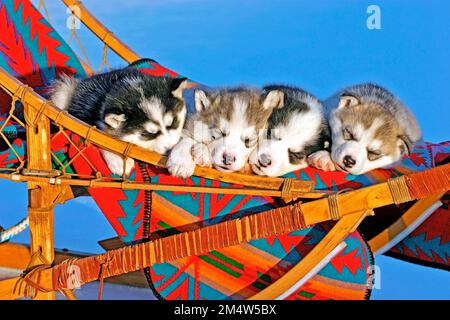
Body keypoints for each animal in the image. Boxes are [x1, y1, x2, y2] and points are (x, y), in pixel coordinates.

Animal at [49, 68, 188, 176]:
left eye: (173, 123)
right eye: (148, 134)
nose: (171, 147)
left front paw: (182, 161)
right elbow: (99, 138)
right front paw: (117, 158)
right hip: (63, 92)